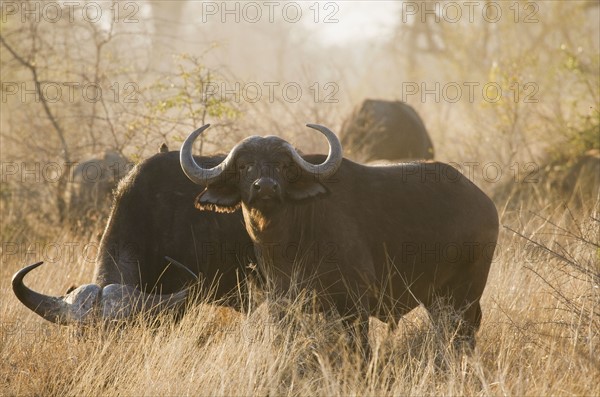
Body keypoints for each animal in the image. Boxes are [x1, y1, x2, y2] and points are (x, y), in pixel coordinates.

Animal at [180, 124, 500, 358]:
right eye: (245, 166)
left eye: (282, 166)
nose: (265, 188)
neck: (288, 243)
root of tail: (484, 203)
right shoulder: (283, 303)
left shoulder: (354, 305)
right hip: (438, 299)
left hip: (463, 295)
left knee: (462, 334)